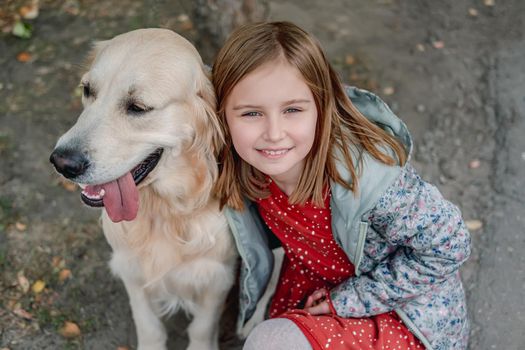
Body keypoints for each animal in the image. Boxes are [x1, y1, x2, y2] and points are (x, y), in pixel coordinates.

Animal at [49, 29, 237, 350]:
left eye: (138, 107)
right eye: (87, 90)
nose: (62, 163)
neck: (164, 211)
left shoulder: (216, 275)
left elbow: (201, 329)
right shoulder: (132, 270)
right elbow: (149, 327)